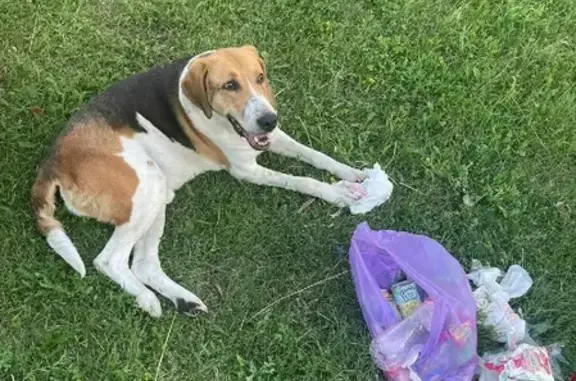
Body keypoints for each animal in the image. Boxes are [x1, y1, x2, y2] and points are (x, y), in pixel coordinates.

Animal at [30, 44, 364, 316]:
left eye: (260, 78)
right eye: (230, 85)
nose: (269, 120)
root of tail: (52, 162)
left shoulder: (270, 139)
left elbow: (316, 156)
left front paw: (354, 174)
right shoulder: (246, 169)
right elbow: (304, 180)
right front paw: (338, 194)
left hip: (157, 193)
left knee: (144, 264)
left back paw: (184, 300)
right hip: (146, 184)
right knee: (108, 260)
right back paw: (146, 299)